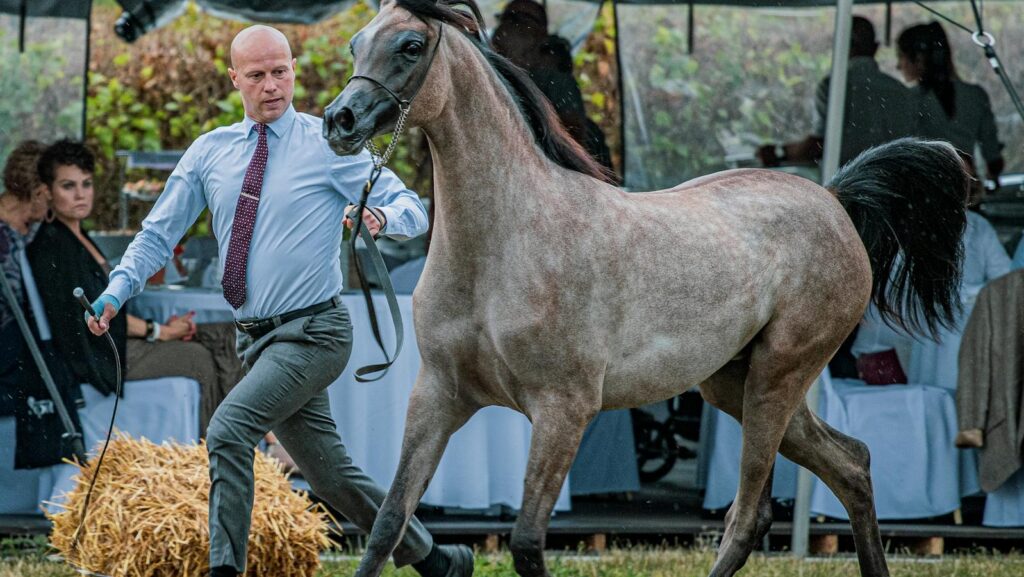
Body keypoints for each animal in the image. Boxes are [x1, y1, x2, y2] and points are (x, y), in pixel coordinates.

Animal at [322, 1, 969, 576]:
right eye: (355, 43)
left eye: (411, 46)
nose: (339, 121)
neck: (505, 245)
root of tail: (834, 198)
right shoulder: (438, 395)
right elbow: (387, 523)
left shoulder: (563, 410)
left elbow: (527, 543)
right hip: (735, 385)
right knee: (851, 464)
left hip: (777, 381)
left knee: (748, 517)